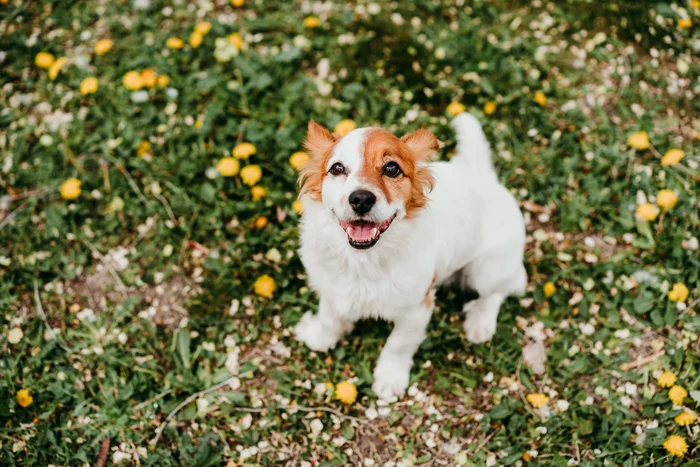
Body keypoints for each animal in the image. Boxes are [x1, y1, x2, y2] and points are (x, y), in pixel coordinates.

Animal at [292, 114, 528, 402]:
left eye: (392, 169)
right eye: (337, 168)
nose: (361, 199)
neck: (364, 259)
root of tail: (484, 178)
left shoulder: (417, 309)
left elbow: (398, 344)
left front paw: (389, 378)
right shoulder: (330, 287)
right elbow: (328, 317)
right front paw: (319, 337)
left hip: (486, 271)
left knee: (504, 288)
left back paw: (480, 321)